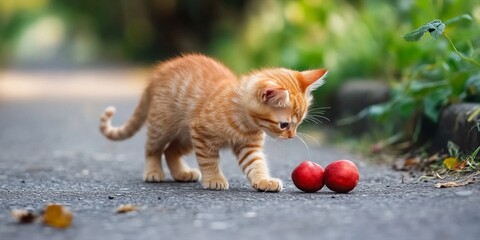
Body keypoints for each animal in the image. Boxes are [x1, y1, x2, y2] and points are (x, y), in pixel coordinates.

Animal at [100, 53, 326, 192]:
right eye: (284, 125)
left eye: (299, 123)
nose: (292, 136)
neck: (243, 121)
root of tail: (158, 73)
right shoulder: (202, 135)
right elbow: (209, 160)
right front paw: (214, 179)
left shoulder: (248, 146)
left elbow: (256, 164)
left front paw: (263, 180)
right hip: (163, 126)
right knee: (153, 148)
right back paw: (153, 171)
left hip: (186, 137)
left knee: (170, 150)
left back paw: (182, 173)